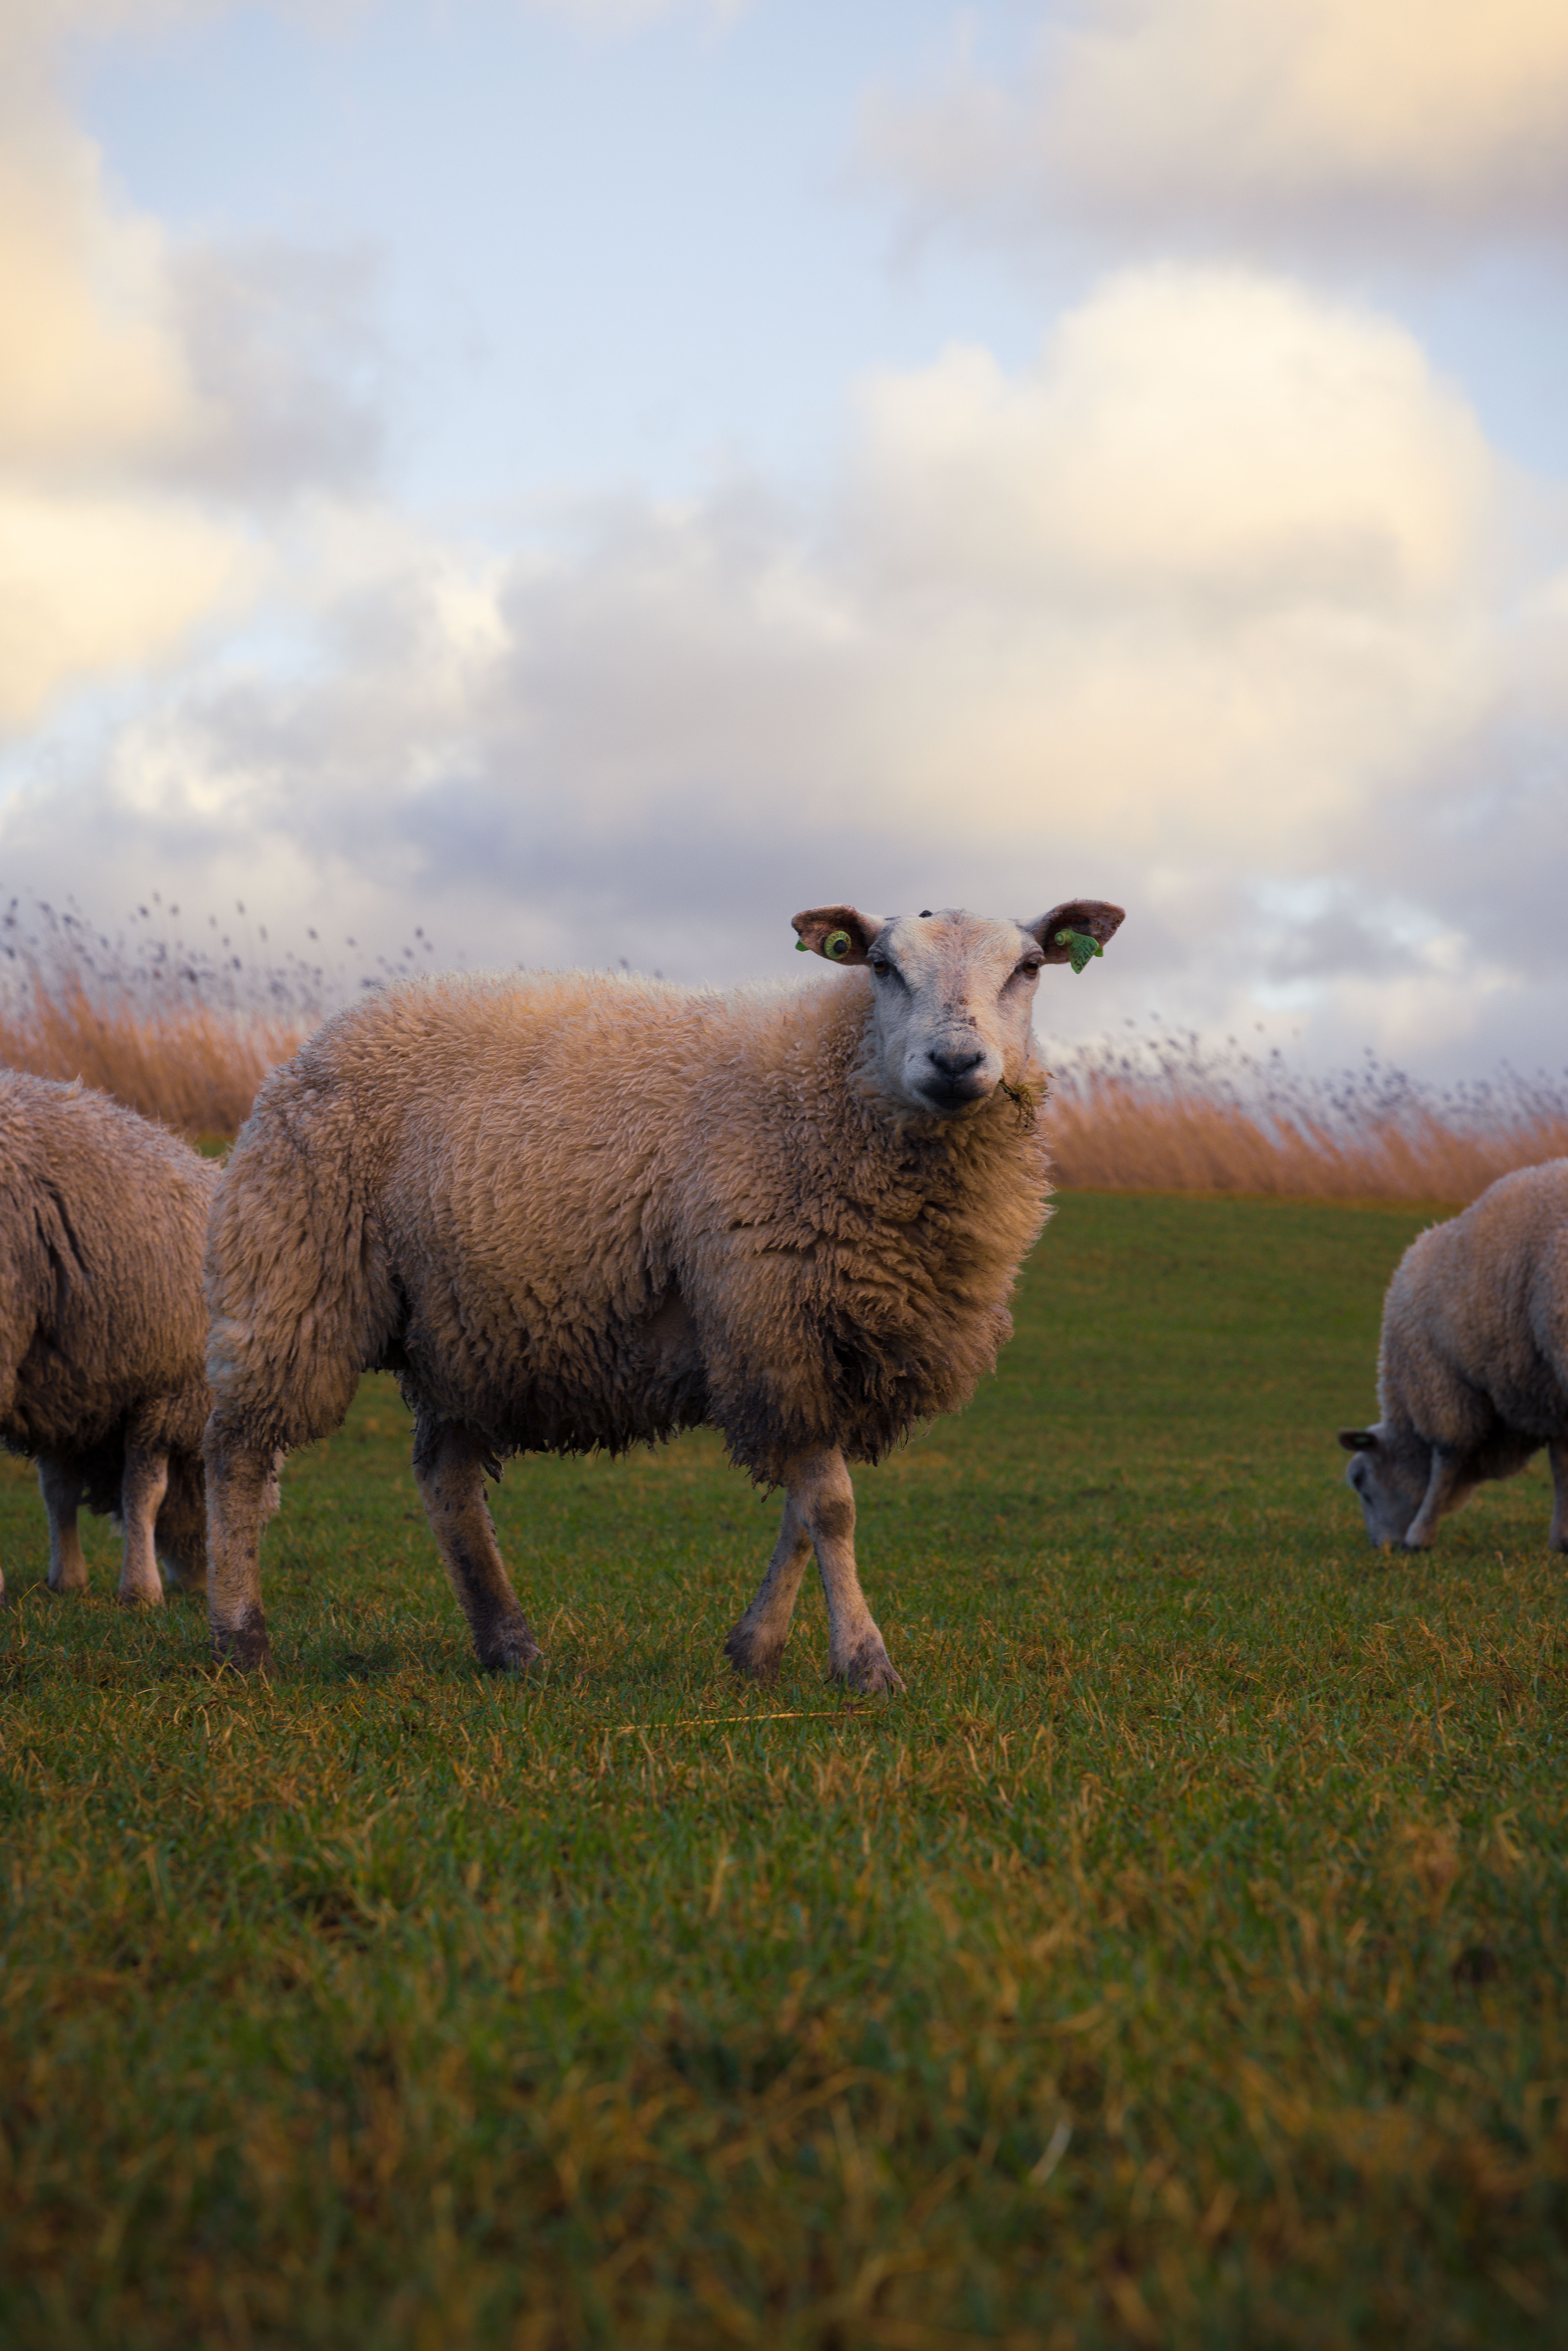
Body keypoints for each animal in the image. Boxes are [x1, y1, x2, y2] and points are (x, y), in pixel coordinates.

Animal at [0, 1070, 218, 1606]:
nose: (199, 1583)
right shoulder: (165, 1386)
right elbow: (145, 1491)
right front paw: (142, 1589)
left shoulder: (60, 1384)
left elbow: (57, 1490)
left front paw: (68, 1579)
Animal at [202, 896, 1125, 1686]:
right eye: (882, 967)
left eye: (1029, 967)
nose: (957, 1062)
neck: (831, 1082)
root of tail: (320, 1042)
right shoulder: (770, 1319)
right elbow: (830, 1509)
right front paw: (865, 1662)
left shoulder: (818, 1349)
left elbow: (800, 1513)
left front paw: (755, 1650)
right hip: (295, 1270)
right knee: (239, 1450)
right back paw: (242, 1640)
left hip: (465, 1328)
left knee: (447, 1479)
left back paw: (507, 1642)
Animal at [1339, 1158, 1568, 1553]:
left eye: (1360, 1481)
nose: (1381, 1547)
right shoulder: (1544, 1388)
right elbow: (1561, 1460)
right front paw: (1562, 1537)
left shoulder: (1442, 1382)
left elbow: (1446, 1457)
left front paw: (1420, 1534)